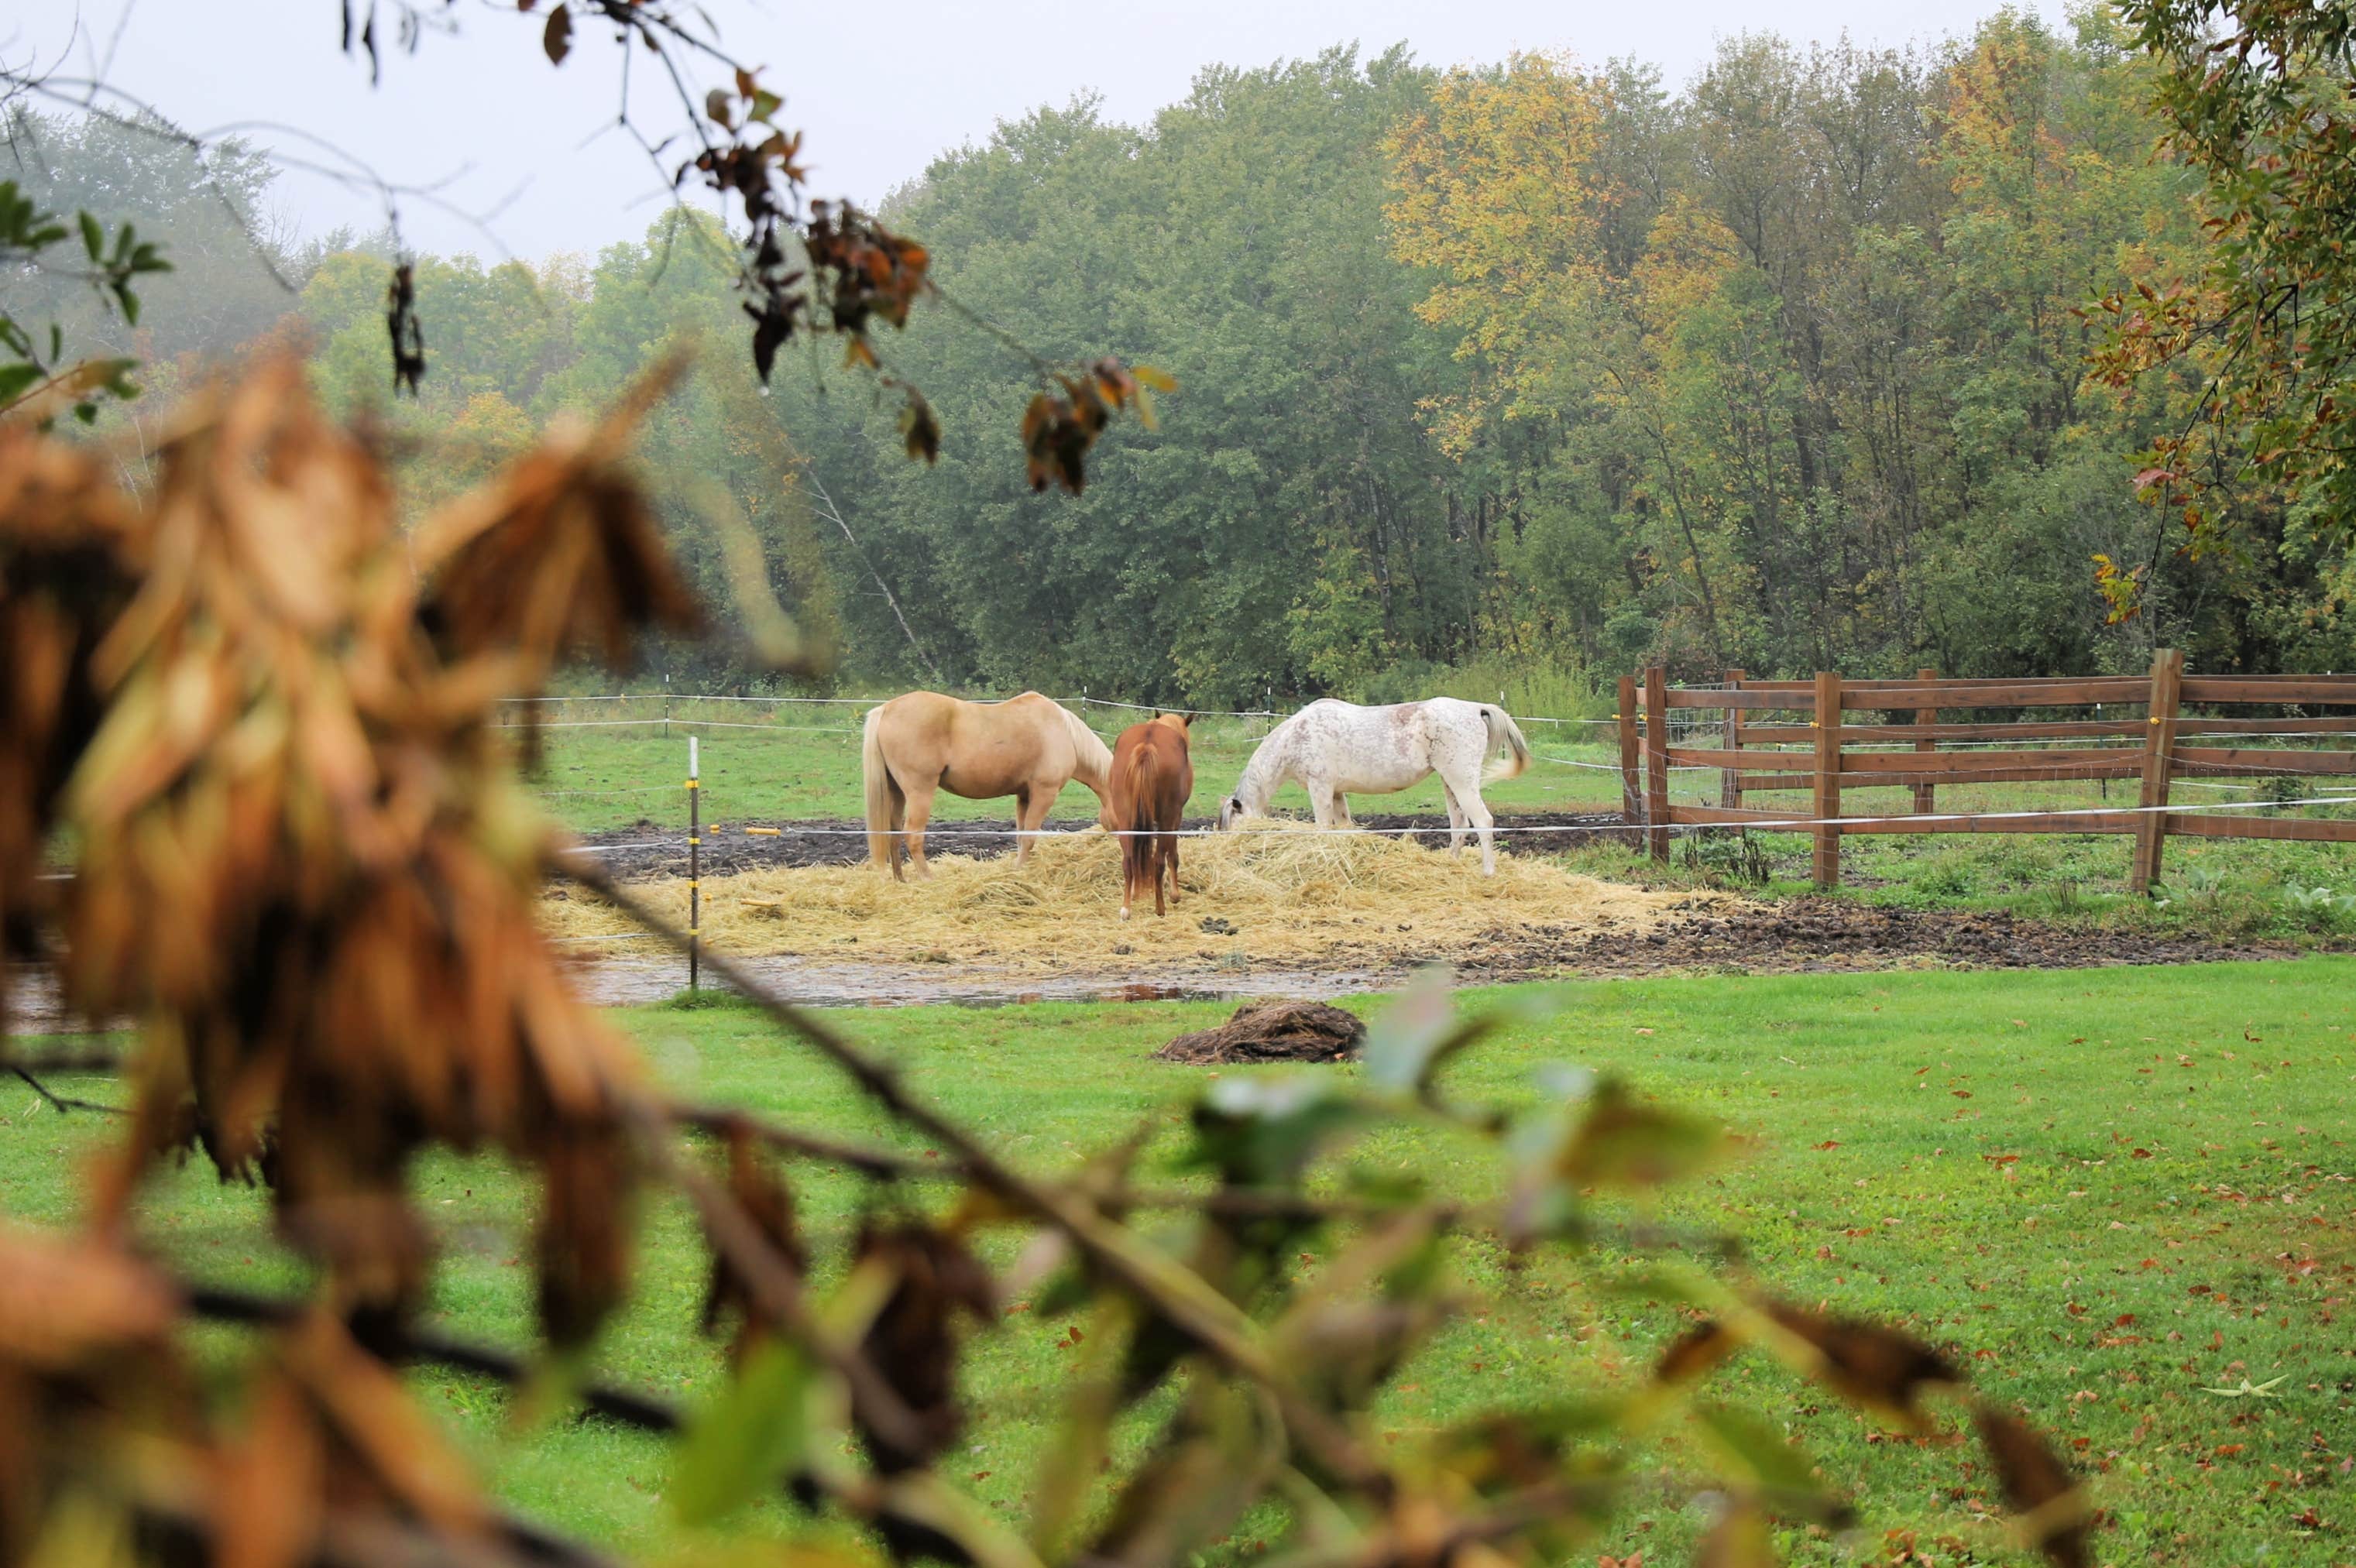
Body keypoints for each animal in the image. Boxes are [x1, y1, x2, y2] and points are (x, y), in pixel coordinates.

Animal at [861, 691, 1113, 880]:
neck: (1064, 732)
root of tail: (886, 709)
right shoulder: (1044, 793)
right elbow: (1029, 838)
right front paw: (1020, 872)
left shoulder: (1024, 796)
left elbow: (1021, 837)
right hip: (920, 792)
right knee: (913, 835)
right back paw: (927, 878)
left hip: (896, 792)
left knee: (893, 832)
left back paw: (900, 880)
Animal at [1101, 713, 1193, 919]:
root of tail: (1147, 744)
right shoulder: (1176, 817)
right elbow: (1172, 855)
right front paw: (1175, 895)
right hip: (1167, 818)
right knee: (1158, 861)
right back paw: (1160, 908)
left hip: (1125, 819)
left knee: (1129, 861)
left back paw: (1126, 908)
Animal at [1215, 697, 1531, 874]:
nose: (1232, 857)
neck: (1297, 736)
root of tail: (1476, 709)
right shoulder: (1337, 793)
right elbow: (1343, 829)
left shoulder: (1321, 789)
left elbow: (1323, 829)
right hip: (1450, 783)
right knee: (1459, 825)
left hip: (1461, 781)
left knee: (1483, 822)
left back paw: (1487, 872)